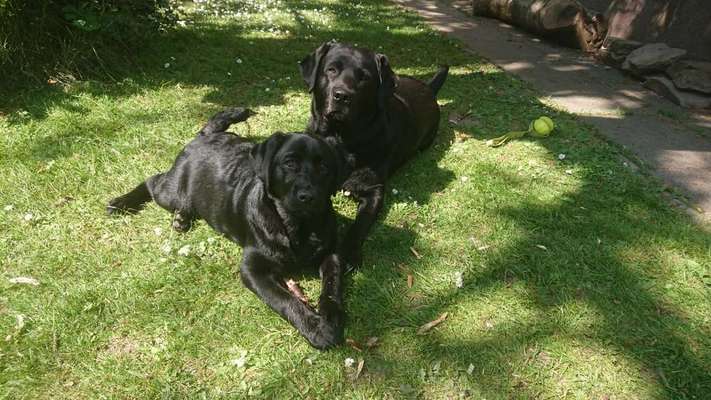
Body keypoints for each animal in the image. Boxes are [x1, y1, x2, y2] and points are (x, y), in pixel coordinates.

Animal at [106, 108, 350, 348]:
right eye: (290, 163)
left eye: (324, 167)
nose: (308, 196)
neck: (296, 225)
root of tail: (204, 135)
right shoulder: (252, 268)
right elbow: (284, 299)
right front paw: (316, 329)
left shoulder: (332, 251)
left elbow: (333, 281)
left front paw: (330, 314)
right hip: (170, 192)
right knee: (152, 181)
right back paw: (120, 204)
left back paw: (181, 218)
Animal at [300, 42, 450, 270]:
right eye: (331, 69)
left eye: (364, 77)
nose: (342, 95)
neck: (341, 139)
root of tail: (428, 88)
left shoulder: (374, 190)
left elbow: (360, 224)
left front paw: (349, 253)